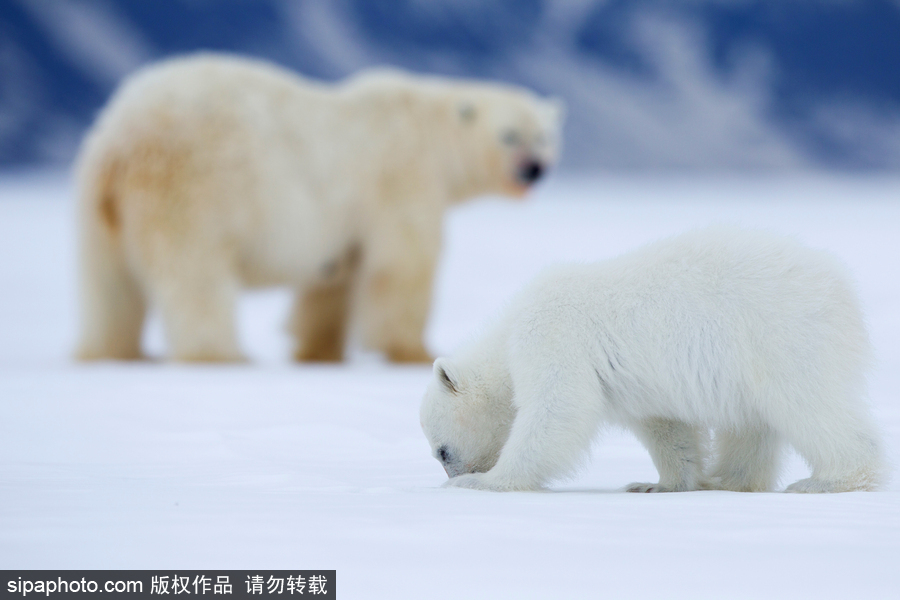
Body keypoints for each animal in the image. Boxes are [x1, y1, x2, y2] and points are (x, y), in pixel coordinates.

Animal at [74, 52, 564, 360]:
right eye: (509, 136)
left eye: (542, 135)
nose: (534, 168)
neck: (426, 128)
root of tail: (119, 141)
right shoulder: (401, 176)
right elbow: (402, 266)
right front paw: (414, 351)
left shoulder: (346, 221)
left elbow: (333, 282)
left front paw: (318, 351)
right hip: (190, 187)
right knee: (194, 274)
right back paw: (220, 354)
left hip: (100, 205)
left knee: (108, 285)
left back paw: (109, 352)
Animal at [422, 227, 884, 494]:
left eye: (441, 451)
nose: (450, 475)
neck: (509, 334)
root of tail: (841, 288)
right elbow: (666, 427)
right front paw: (658, 484)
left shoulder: (553, 336)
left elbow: (559, 409)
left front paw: (484, 481)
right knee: (751, 425)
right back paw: (732, 481)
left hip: (781, 335)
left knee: (808, 405)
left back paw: (829, 481)